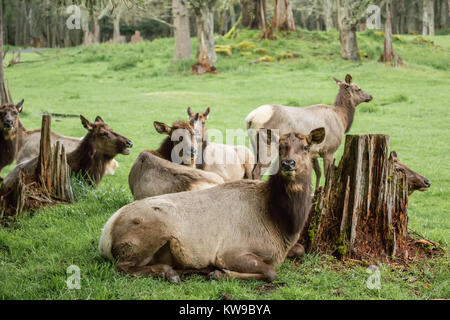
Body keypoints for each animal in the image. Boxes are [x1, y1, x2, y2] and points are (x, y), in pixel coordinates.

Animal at [98, 127, 324, 282]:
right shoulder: (230, 251)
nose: (288, 163)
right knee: (122, 267)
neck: (282, 224)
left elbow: (300, 249)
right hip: (152, 230)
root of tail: (106, 234)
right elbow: (270, 272)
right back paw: (170, 272)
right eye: (280, 147)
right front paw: (220, 273)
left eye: (306, 147)